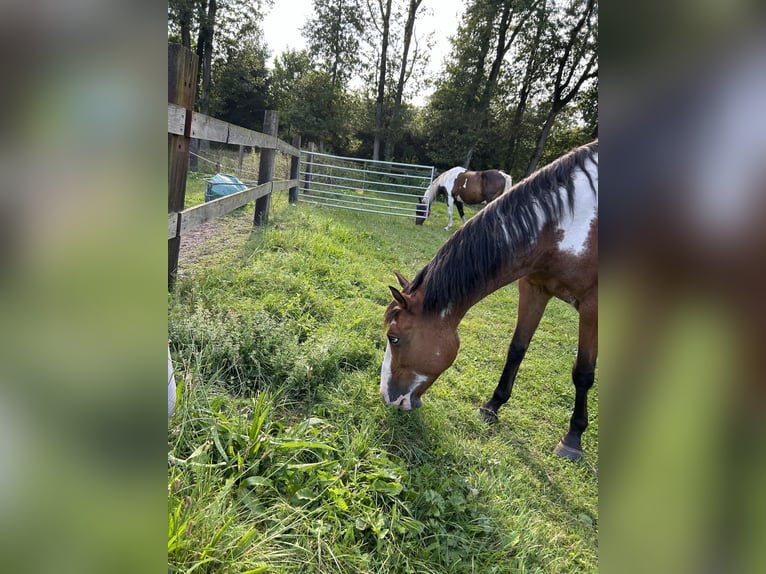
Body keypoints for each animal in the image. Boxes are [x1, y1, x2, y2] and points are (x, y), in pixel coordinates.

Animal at [384, 143, 600, 464]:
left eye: (394, 338)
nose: (388, 398)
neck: (569, 225)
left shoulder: (592, 307)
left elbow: (583, 373)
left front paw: (573, 438)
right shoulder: (534, 288)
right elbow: (517, 349)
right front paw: (492, 406)